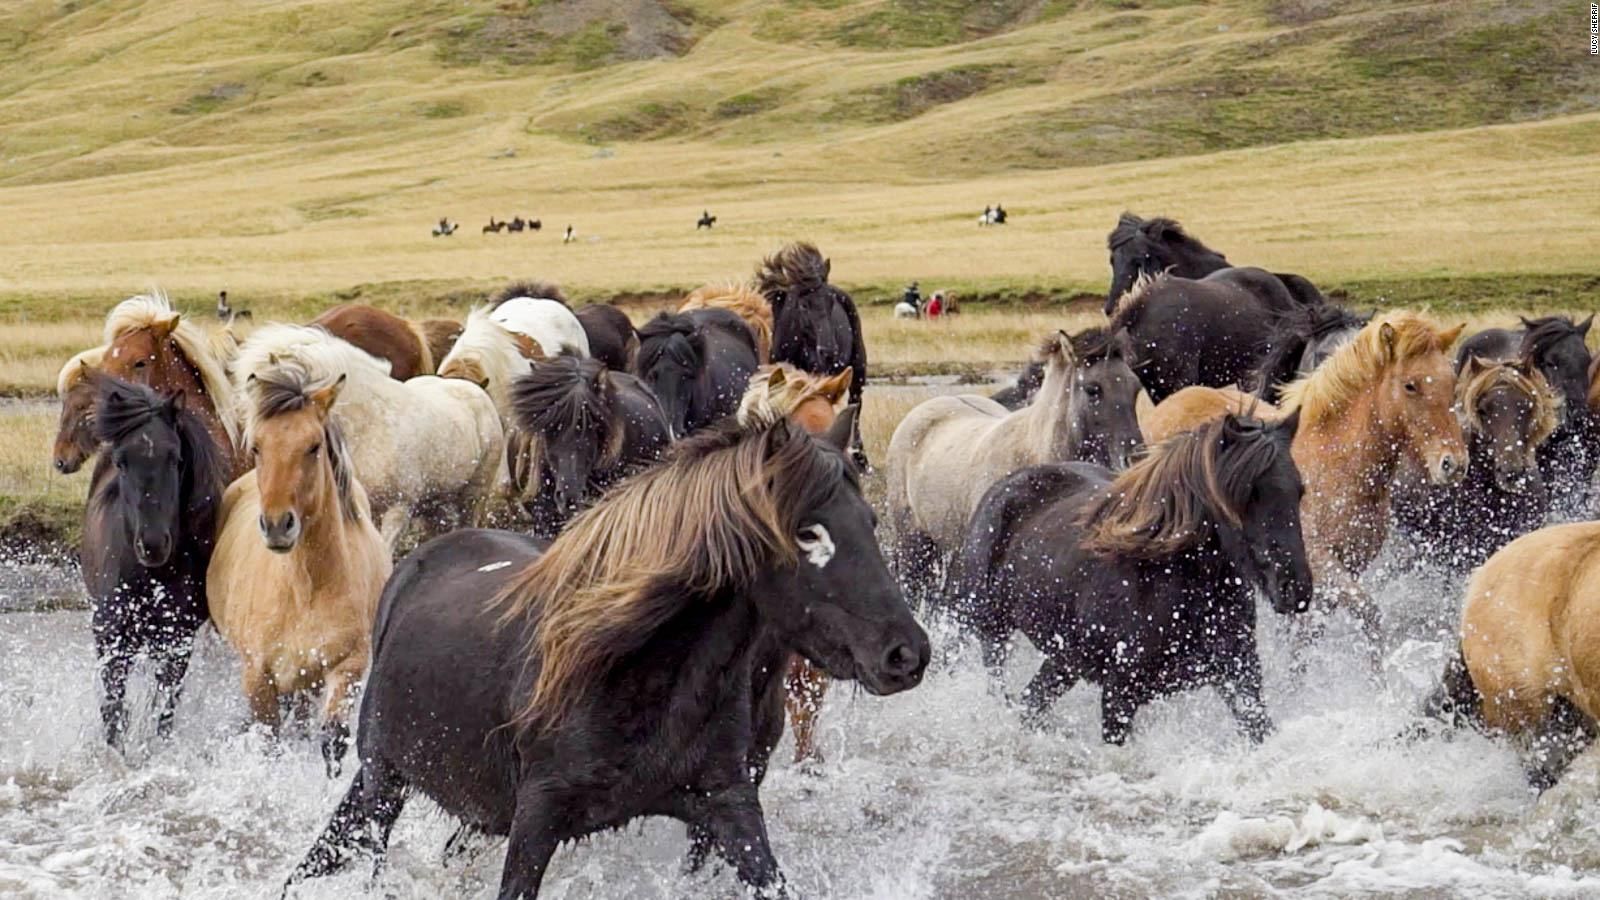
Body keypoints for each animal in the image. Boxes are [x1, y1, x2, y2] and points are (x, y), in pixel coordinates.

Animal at [81, 373, 228, 750]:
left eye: (175, 458)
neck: (151, 577)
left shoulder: (176, 641)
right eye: (121, 461)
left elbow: (164, 709)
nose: (153, 544)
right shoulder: (111, 636)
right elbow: (114, 709)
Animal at [208, 367, 391, 775]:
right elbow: (270, 742)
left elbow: (333, 740)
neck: (303, 590)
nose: (278, 525)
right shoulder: (257, 677)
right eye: (257, 447)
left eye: (313, 446)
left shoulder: (345, 667)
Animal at [285, 414, 928, 898]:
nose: (907, 654)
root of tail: (418, 560)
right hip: (382, 780)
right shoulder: (537, 818)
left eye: (870, 521)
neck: (638, 676)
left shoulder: (727, 800)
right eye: (807, 533)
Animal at [947, 413, 1310, 743]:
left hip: (1064, 661)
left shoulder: (1240, 677)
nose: (1296, 588)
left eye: (1299, 491)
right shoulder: (1119, 694)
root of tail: (1003, 487)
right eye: (1245, 494)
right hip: (986, 629)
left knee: (1030, 704)